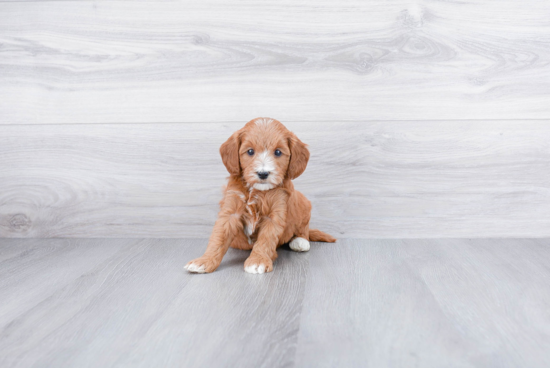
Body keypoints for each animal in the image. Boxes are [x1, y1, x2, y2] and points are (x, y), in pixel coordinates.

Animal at [185, 116, 336, 274]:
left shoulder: (275, 213)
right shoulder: (230, 210)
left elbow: (266, 239)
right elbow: (219, 237)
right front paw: (204, 261)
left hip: (304, 203)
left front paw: (258, 261)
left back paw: (300, 241)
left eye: (278, 152)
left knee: (303, 227)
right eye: (250, 151)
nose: (263, 173)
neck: (256, 191)